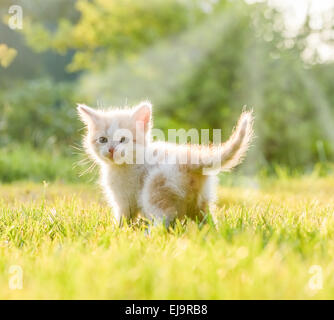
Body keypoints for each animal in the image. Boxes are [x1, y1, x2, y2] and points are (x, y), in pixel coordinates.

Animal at [77, 101, 253, 226]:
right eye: (102, 140)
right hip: (200, 203)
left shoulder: (125, 201)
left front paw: (117, 233)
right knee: (207, 220)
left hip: (154, 191)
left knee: (163, 218)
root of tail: (190, 161)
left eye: (123, 139)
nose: (111, 149)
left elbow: (124, 218)